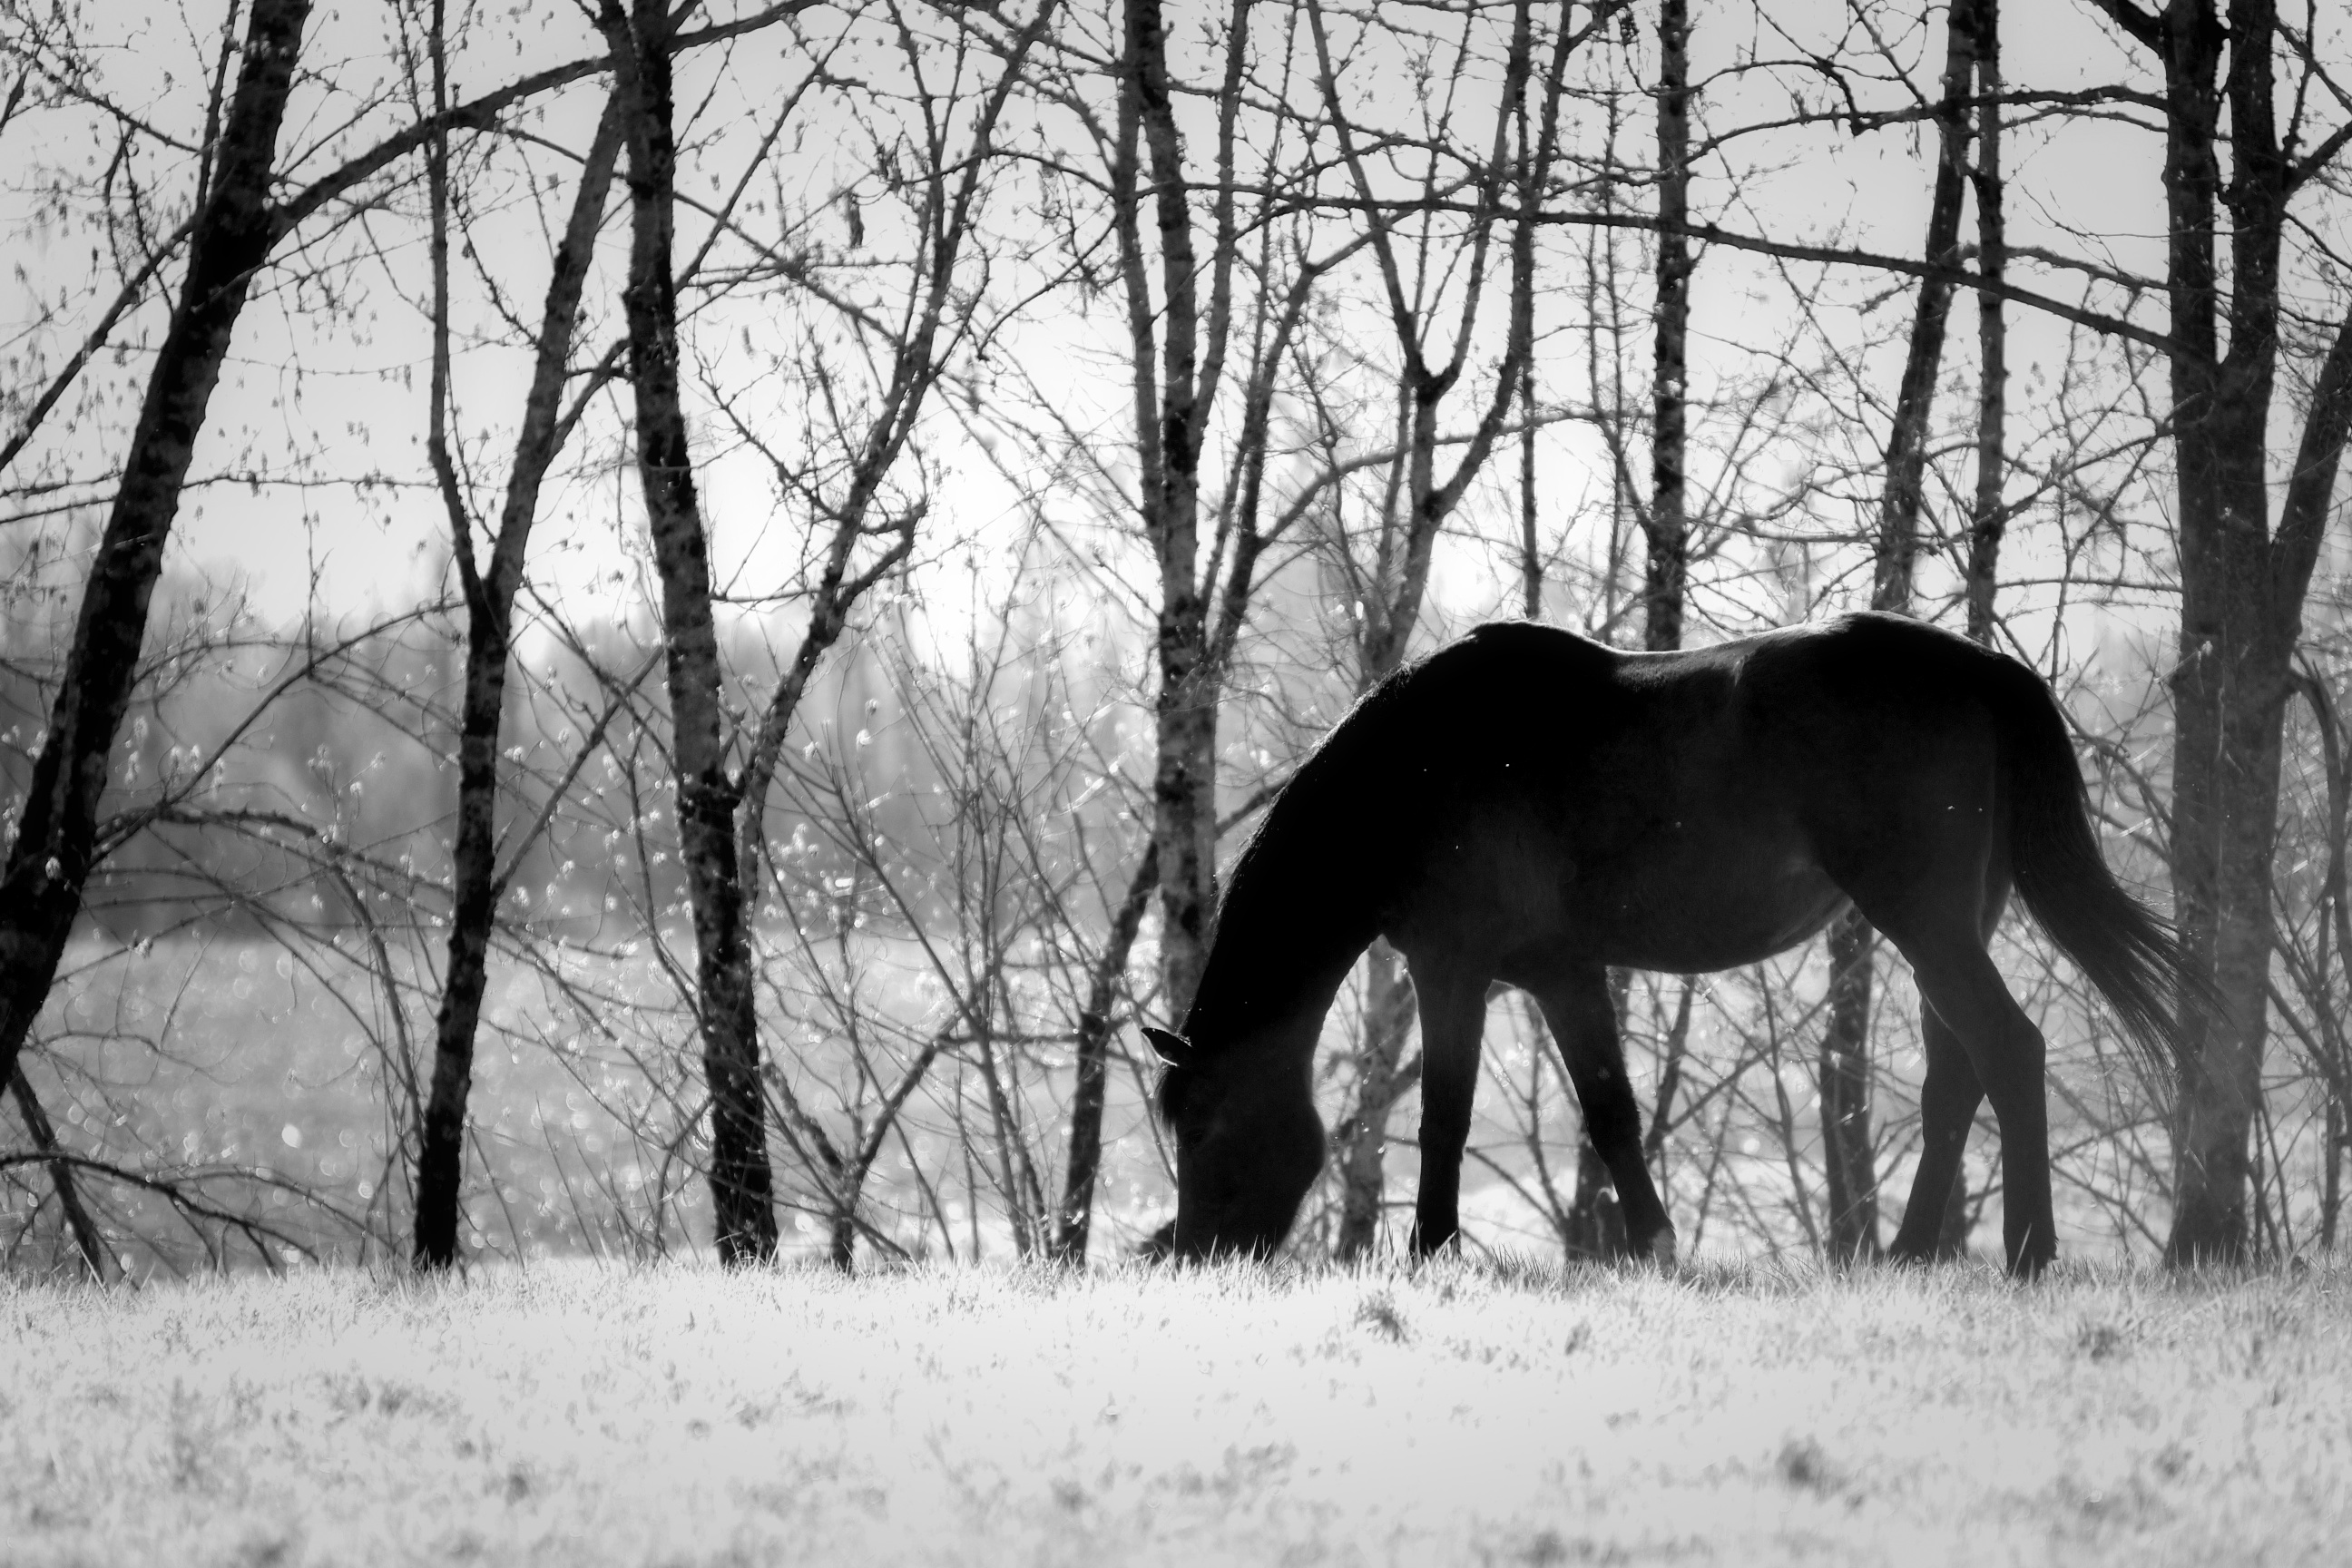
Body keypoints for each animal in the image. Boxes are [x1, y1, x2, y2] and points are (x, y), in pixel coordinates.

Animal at [1147, 611, 2191, 1279]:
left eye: (1202, 1126)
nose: (1199, 1252)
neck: (1415, 771)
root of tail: (1984, 669)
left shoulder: (1452, 970)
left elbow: (1445, 1117)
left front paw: (1431, 1251)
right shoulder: (1562, 974)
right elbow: (1610, 1110)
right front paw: (1653, 1244)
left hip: (1924, 920)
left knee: (2009, 1051)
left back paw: (2027, 1253)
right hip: (1950, 926)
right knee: (1955, 1077)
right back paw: (1907, 1256)